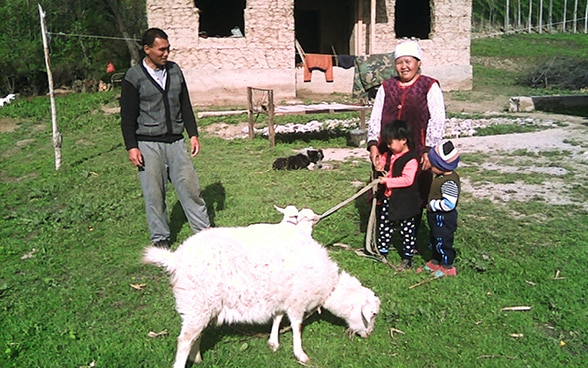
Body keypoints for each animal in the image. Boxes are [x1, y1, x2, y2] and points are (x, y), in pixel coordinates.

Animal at [145, 223, 378, 366]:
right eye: (373, 315)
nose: (368, 335)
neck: (329, 284)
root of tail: (175, 259)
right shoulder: (297, 301)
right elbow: (296, 327)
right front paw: (300, 354)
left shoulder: (282, 297)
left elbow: (277, 318)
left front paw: (273, 342)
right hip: (196, 302)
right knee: (184, 339)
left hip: (199, 306)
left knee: (194, 335)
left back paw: (198, 358)